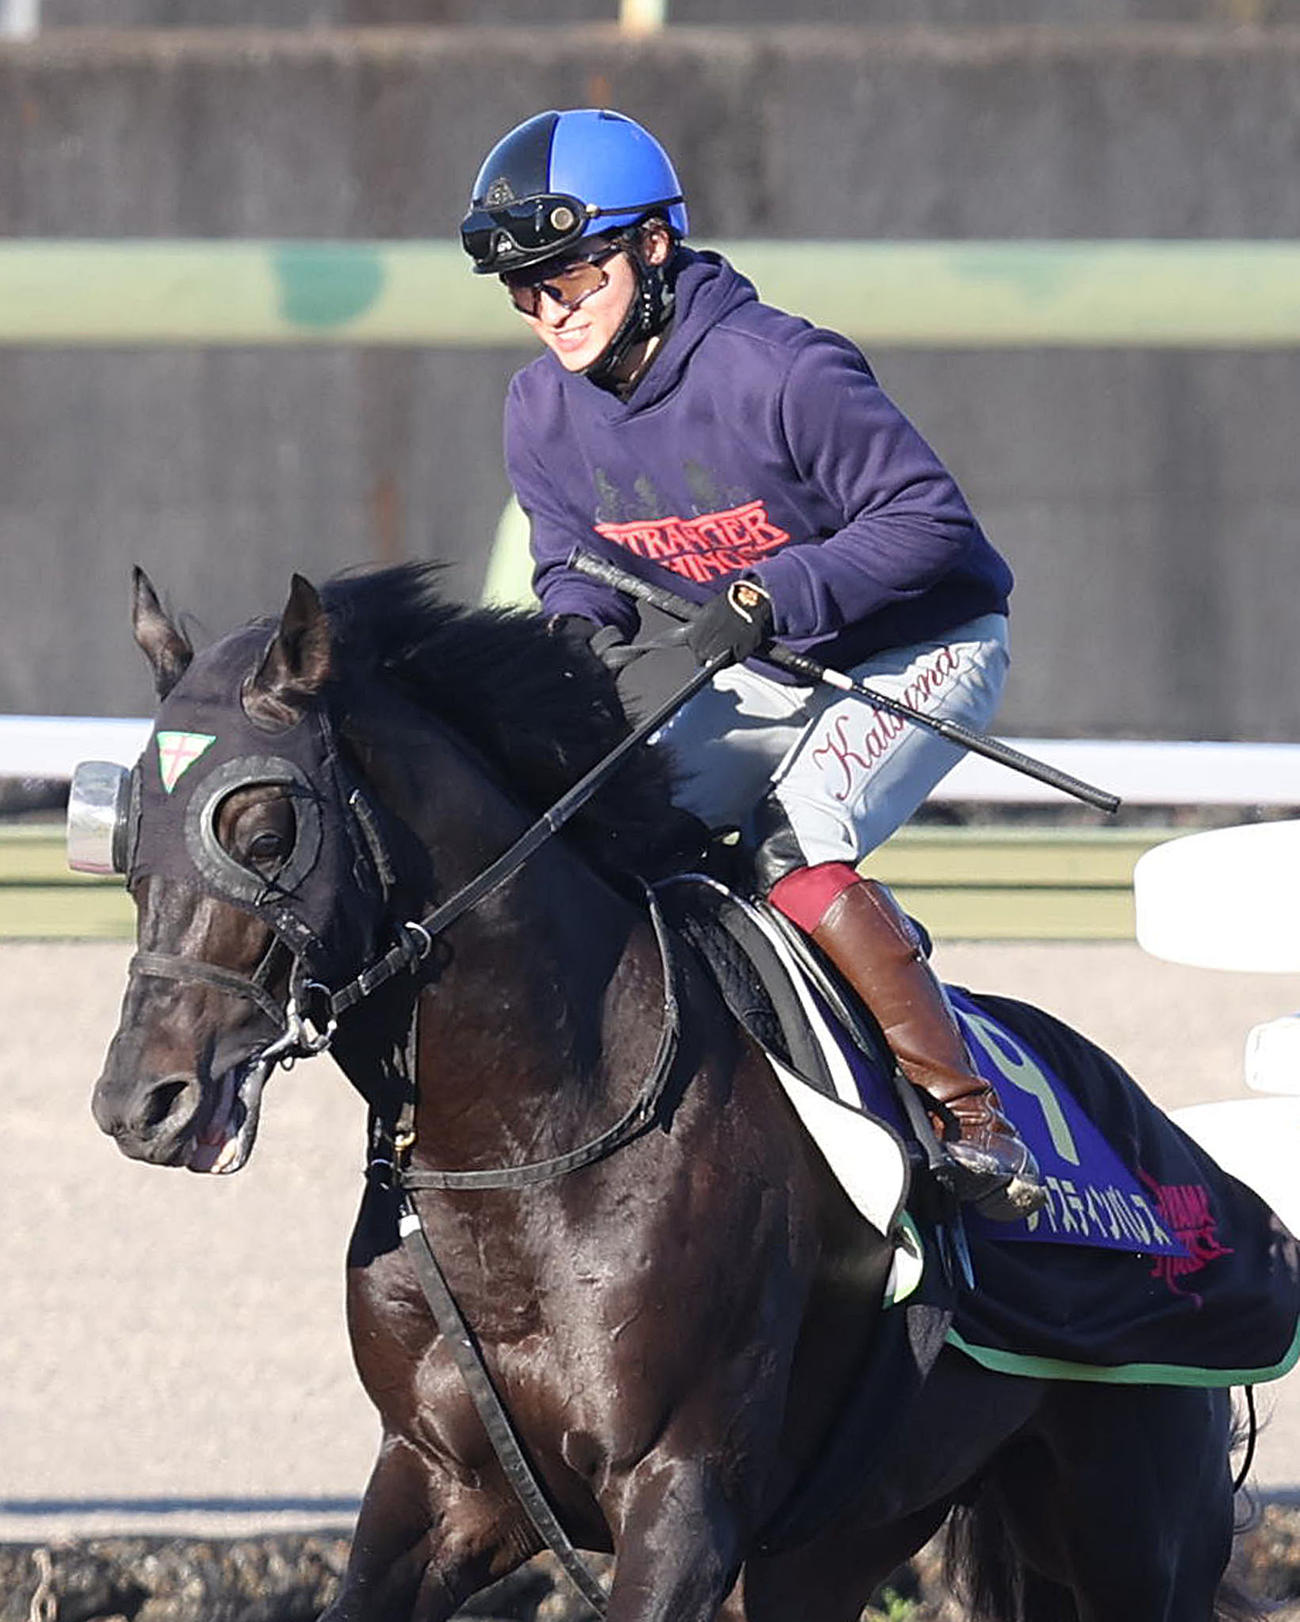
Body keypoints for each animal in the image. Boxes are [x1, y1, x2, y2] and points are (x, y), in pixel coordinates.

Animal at [86, 562, 1260, 1622]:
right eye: (128, 832)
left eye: (264, 830)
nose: (142, 1102)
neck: (527, 1147)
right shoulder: (438, 1482)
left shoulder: (681, 1492)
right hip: (845, 1536)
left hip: (1136, 1524)